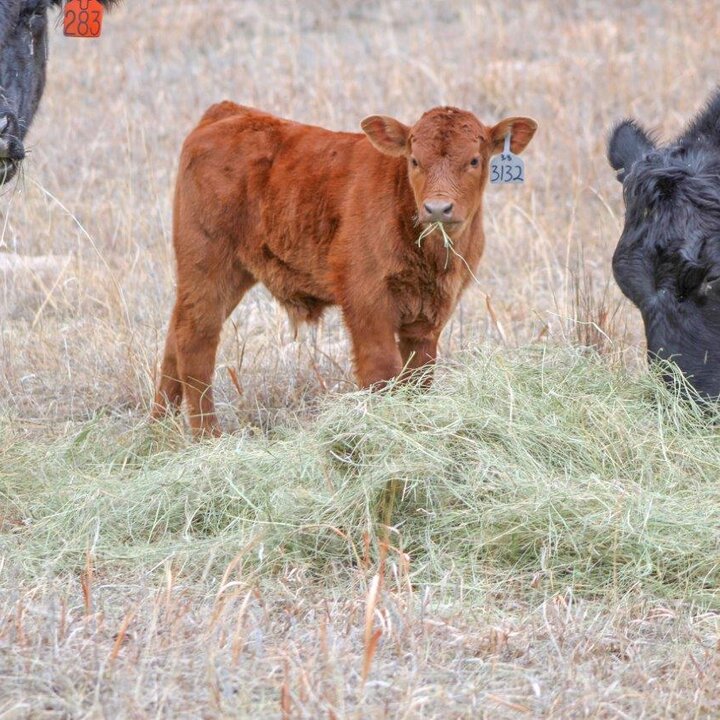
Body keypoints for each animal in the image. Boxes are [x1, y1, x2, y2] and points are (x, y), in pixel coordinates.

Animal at [152, 101, 537, 436]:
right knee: (195, 340)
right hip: (208, 265)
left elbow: (418, 378)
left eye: (474, 160)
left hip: (227, 275)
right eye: (414, 160)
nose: (438, 208)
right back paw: (208, 437)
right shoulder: (366, 302)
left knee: (174, 337)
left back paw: (159, 432)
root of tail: (228, 112)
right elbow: (382, 372)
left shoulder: (429, 316)